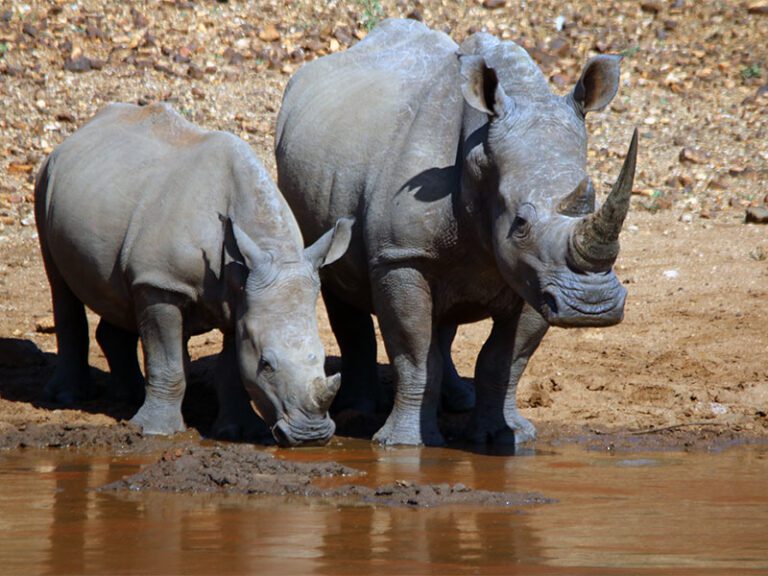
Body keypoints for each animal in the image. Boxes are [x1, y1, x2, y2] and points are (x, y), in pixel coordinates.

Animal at [34, 102, 352, 446]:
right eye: (266, 365)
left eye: (321, 357)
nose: (311, 436)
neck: (270, 248)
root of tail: (79, 132)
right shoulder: (161, 283)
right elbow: (167, 361)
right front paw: (154, 430)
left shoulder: (242, 296)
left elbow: (232, 369)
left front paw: (238, 431)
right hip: (45, 178)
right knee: (59, 284)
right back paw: (67, 397)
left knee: (117, 293)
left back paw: (128, 397)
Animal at [275, 19, 637, 446]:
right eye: (520, 223)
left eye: (591, 202)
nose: (591, 306)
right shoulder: (401, 256)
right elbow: (415, 355)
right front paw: (405, 445)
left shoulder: (540, 276)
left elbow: (505, 362)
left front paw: (506, 436)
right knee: (341, 288)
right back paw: (357, 410)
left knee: (446, 316)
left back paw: (459, 401)